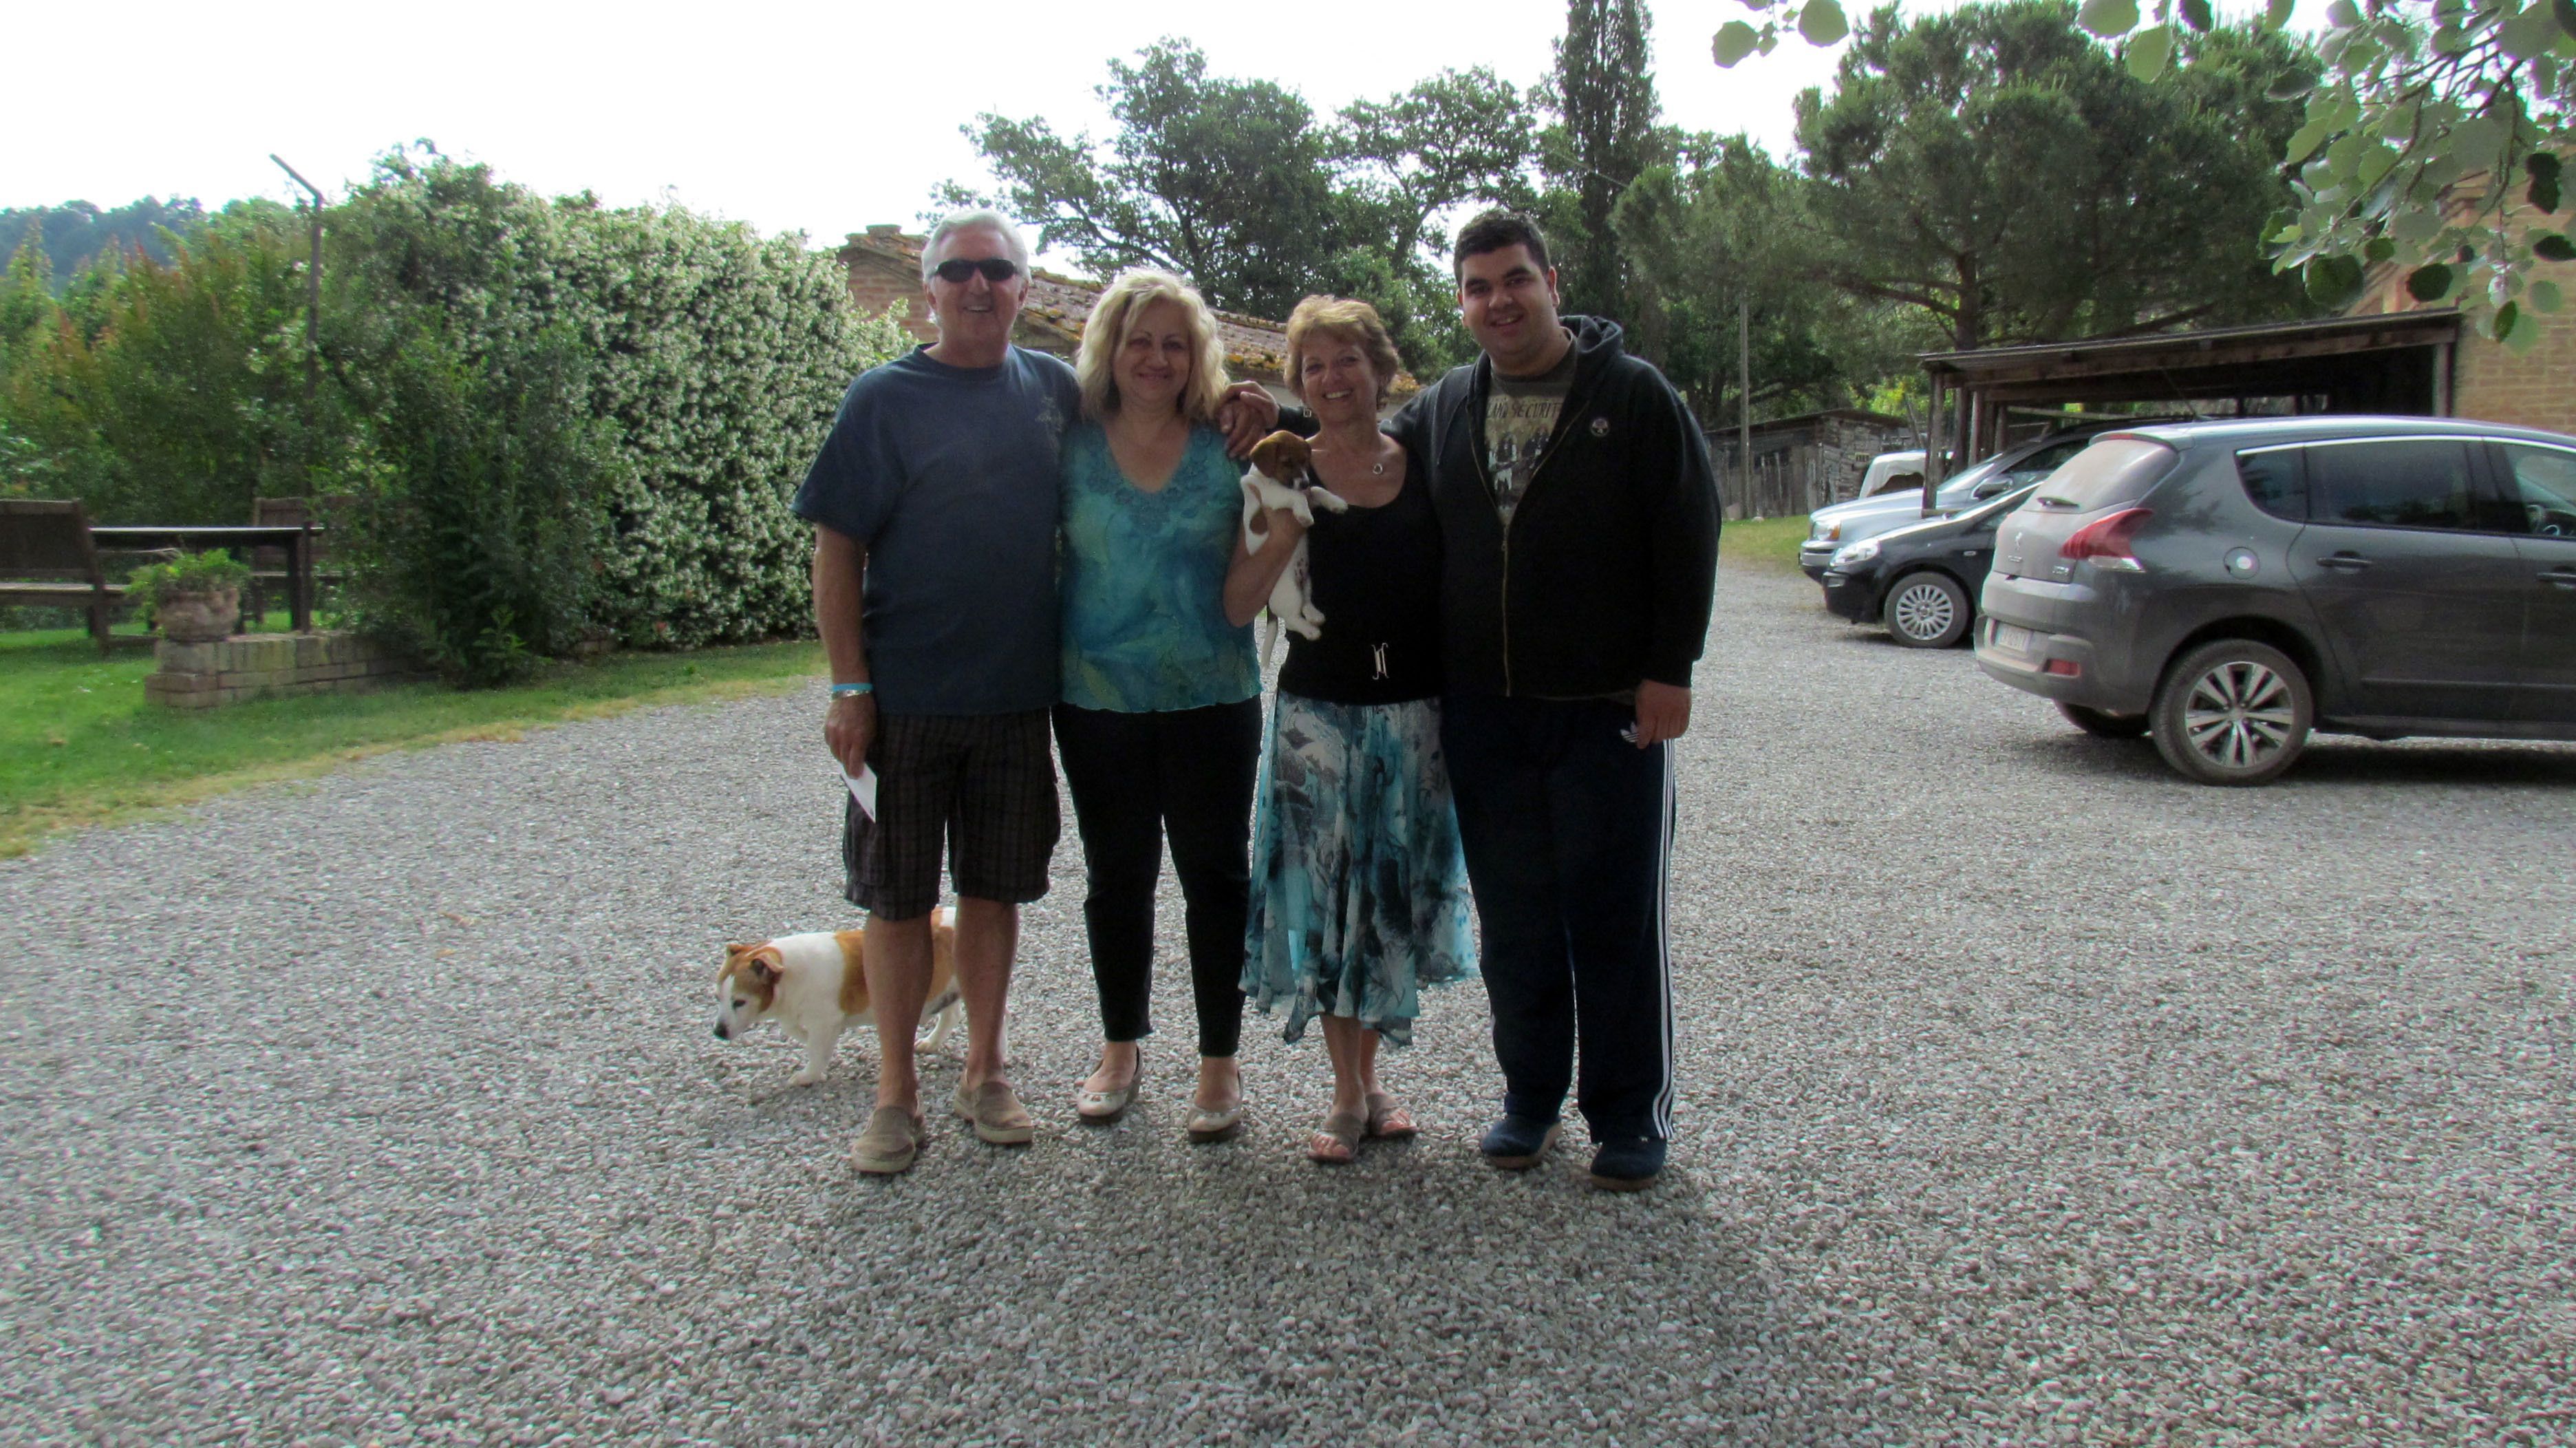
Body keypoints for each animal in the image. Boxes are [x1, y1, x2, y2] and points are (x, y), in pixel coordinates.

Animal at [712, 907, 960, 1086]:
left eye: (739, 1002)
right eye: (717, 998)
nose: (718, 1033)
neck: (789, 974)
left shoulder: (823, 1021)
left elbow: (815, 1049)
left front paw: (809, 1075)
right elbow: (795, 1031)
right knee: (951, 1016)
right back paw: (931, 1042)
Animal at [1240, 430, 1349, 664]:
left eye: (1305, 461)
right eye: (1286, 463)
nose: (1305, 482)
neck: (1270, 479)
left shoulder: (1309, 493)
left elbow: (1317, 490)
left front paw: (1336, 503)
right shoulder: (1275, 496)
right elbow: (1296, 495)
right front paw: (1304, 515)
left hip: (1306, 581)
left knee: (1306, 603)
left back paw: (1315, 616)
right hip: (1289, 591)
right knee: (1291, 619)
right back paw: (1311, 631)